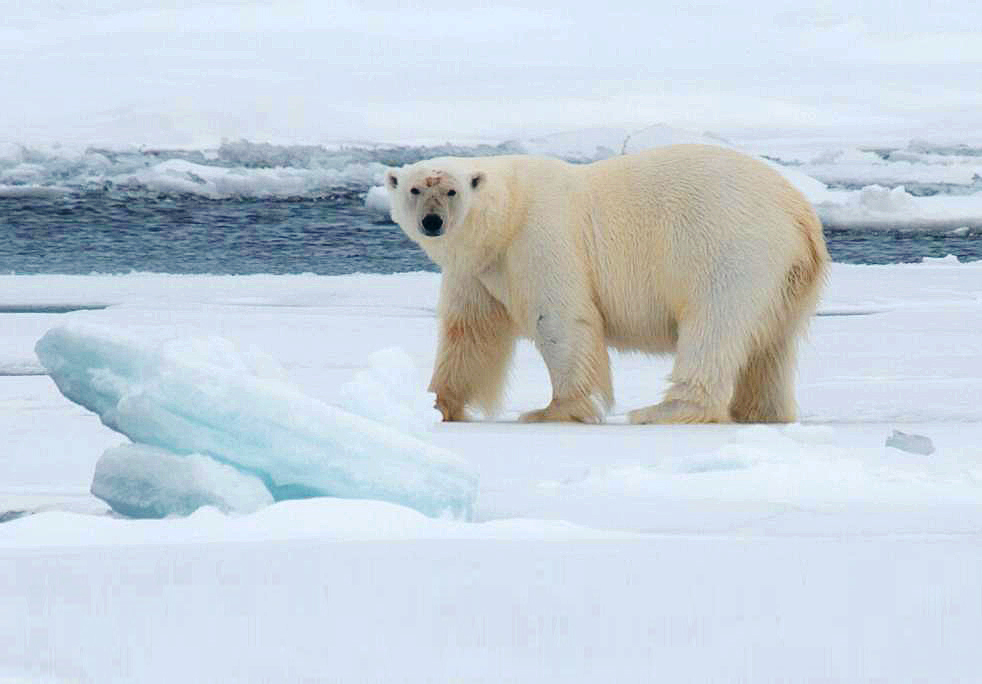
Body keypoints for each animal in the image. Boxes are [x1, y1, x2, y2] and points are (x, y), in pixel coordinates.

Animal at [386, 144, 832, 422]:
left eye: (451, 190)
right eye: (414, 188)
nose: (432, 222)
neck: (508, 213)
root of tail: (801, 216)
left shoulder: (540, 238)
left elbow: (560, 319)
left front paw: (552, 410)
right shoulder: (479, 270)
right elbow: (469, 333)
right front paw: (436, 404)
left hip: (730, 248)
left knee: (714, 325)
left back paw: (662, 411)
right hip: (786, 279)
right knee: (771, 345)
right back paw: (761, 411)